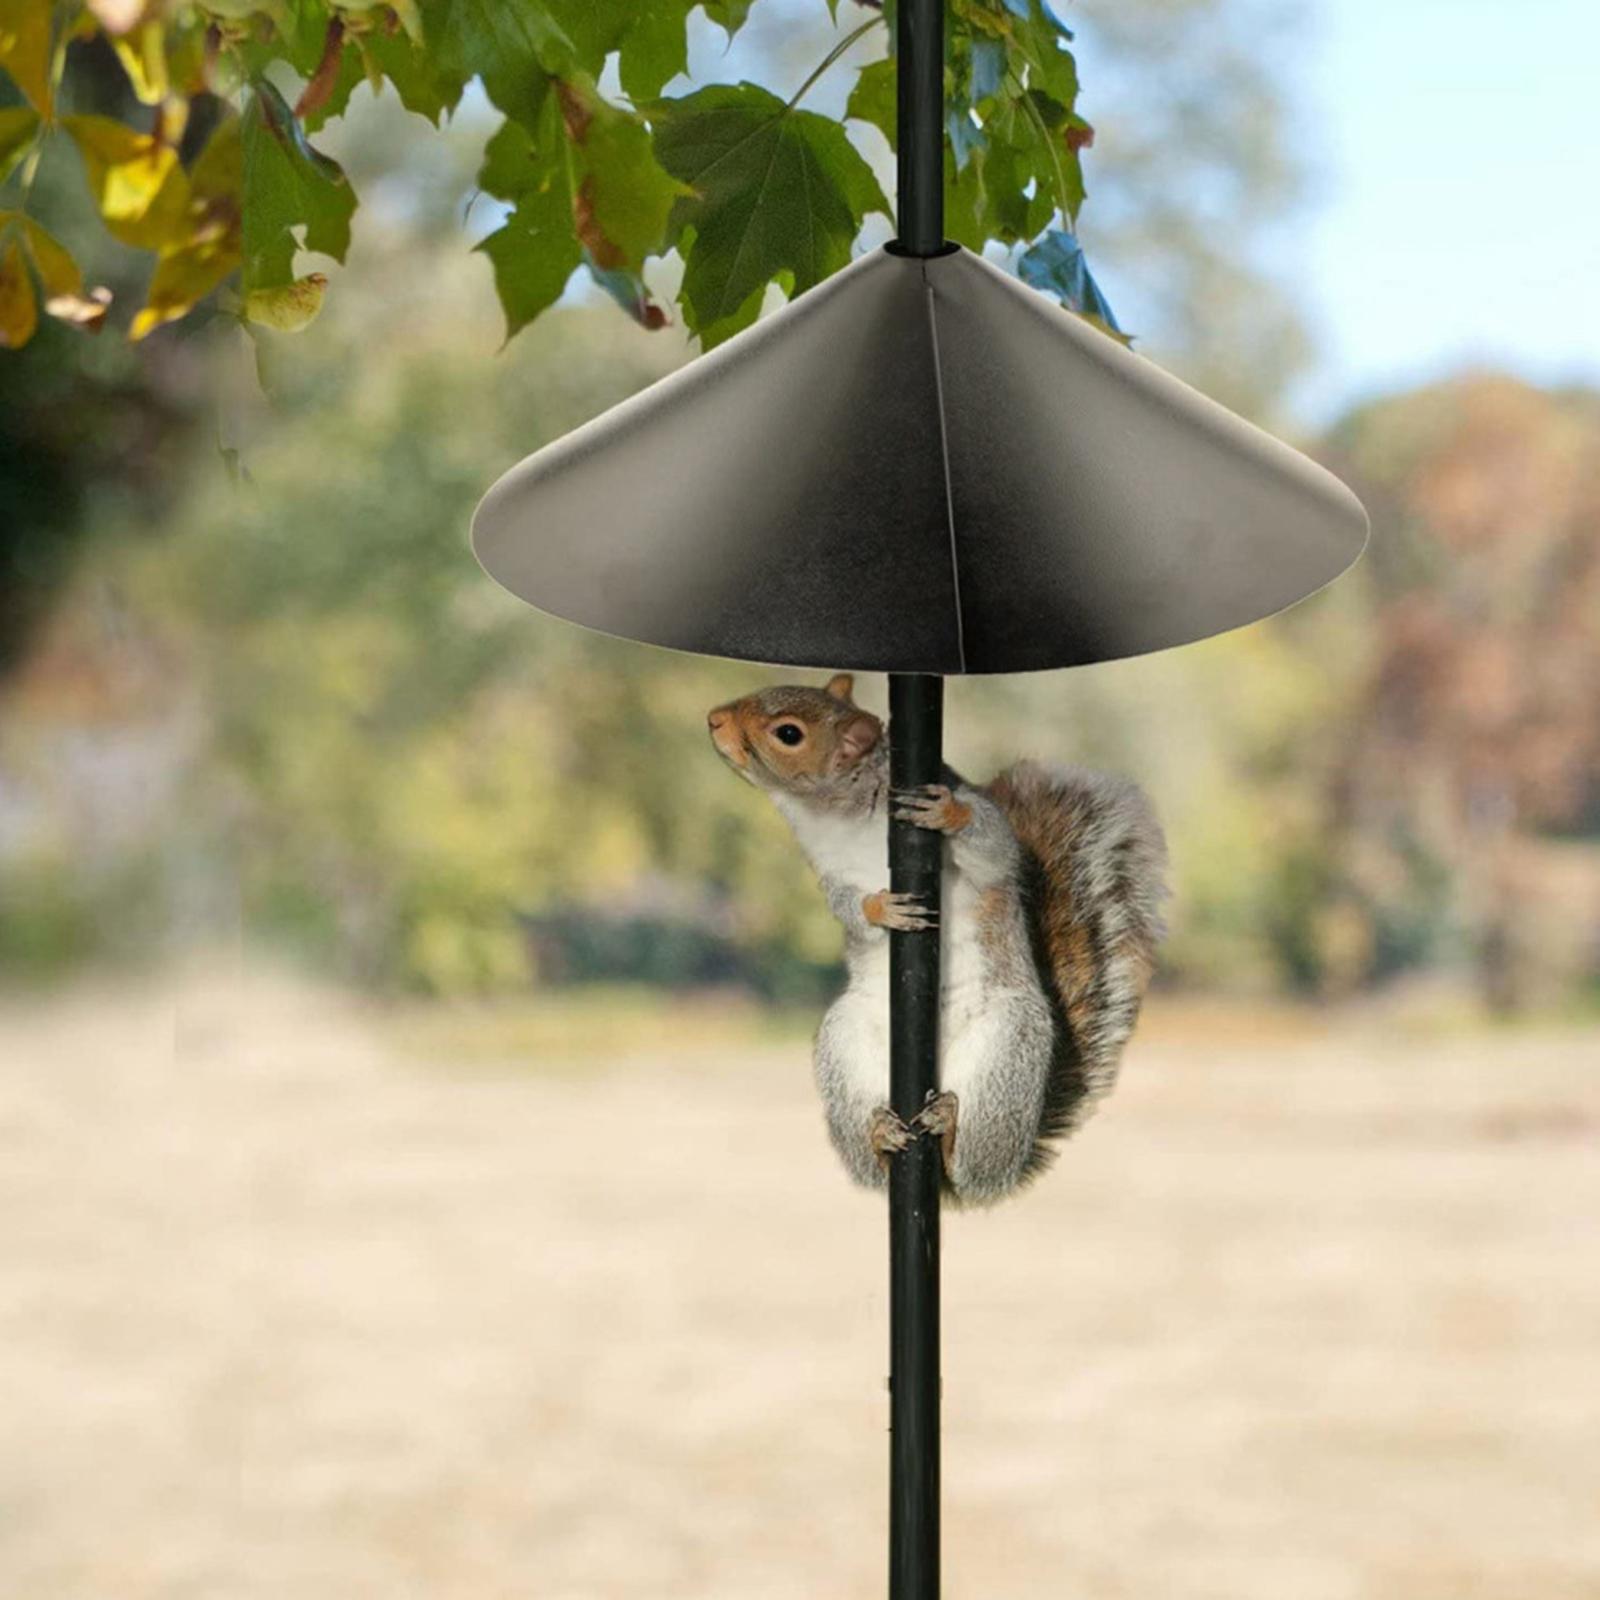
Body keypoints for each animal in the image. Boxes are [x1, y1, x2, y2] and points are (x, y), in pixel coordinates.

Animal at [708, 673, 1169, 1207]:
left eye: (788, 733)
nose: (714, 720)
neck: (838, 814)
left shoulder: (983, 837)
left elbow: (994, 848)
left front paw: (948, 813)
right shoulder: (830, 873)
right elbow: (847, 906)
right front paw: (881, 910)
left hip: (1007, 1050)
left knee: (971, 1166)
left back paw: (949, 1133)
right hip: (845, 1043)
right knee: (874, 1169)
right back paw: (880, 1137)